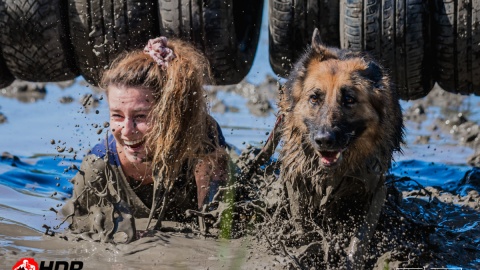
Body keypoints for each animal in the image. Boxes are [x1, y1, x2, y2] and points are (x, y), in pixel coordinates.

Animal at [280, 28, 404, 268]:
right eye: (314, 98)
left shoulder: (374, 188)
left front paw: (351, 260)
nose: (324, 140)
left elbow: (361, 236)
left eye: (349, 99)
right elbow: (302, 223)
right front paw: (309, 251)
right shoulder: (297, 177)